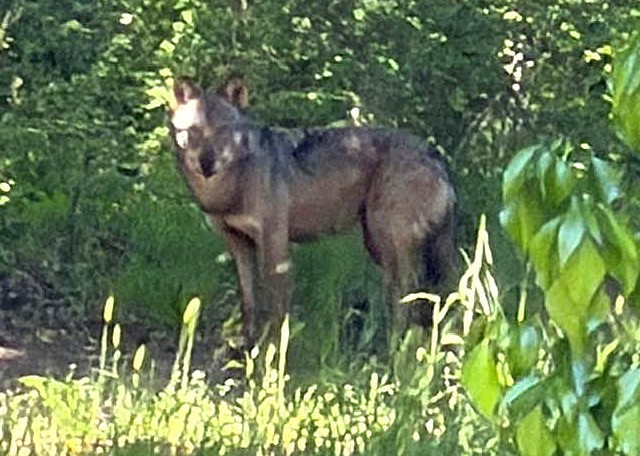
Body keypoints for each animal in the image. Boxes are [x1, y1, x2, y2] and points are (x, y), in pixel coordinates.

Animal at [169, 77, 456, 350]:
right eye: (193, 131)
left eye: (223, 131)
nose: (207, 164)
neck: (233, 189)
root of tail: (436, 157)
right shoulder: (238, 245)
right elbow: (249, 304)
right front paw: (247, 349)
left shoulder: (275, 246)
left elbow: (277, 311)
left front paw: (273, 353)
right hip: (378, 246)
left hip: (388, 243)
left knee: (410, 292)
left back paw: (398, 346)